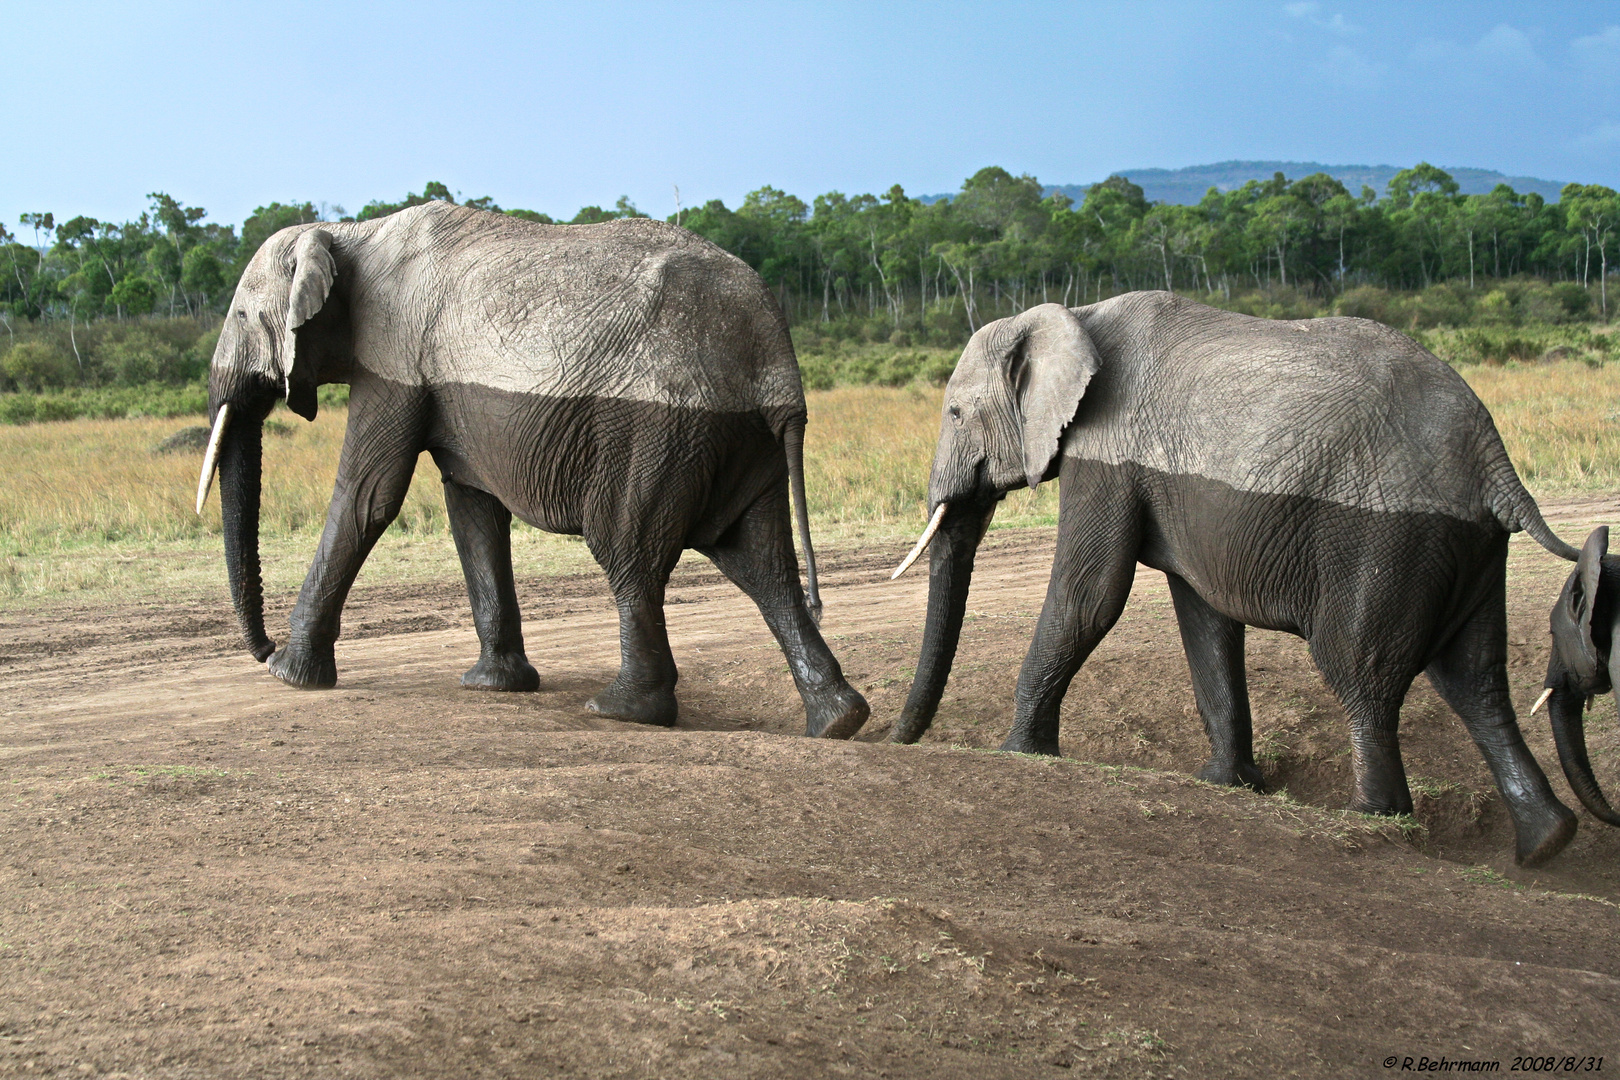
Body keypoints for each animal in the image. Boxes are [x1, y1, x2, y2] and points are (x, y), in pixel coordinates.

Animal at [196, 198, 874, 738]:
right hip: (741, 439)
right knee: (761, 565)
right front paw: (493, 686)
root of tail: (777, 359)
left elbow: (369, 494)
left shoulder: (395, 359)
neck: (348, 233)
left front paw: (289, 676)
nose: (260, 649)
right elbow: (470, 506)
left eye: (240, 317)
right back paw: (838, 721)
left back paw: (621, 711)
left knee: (629, 551)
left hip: (661, 431)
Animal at [894, 291, 1600, 867]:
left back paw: (1373, 816)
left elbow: (1089, 596)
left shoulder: (1105, 455)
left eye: (954, 414)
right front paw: (1223, 783)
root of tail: (1494, 463)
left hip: (1388, 540)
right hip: (1467, 548)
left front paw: (1017, 754)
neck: (1074, 315)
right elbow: (1203, 615)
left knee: (1361, 670)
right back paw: (1546, 843)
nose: (888, 737)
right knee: (1475, 680)